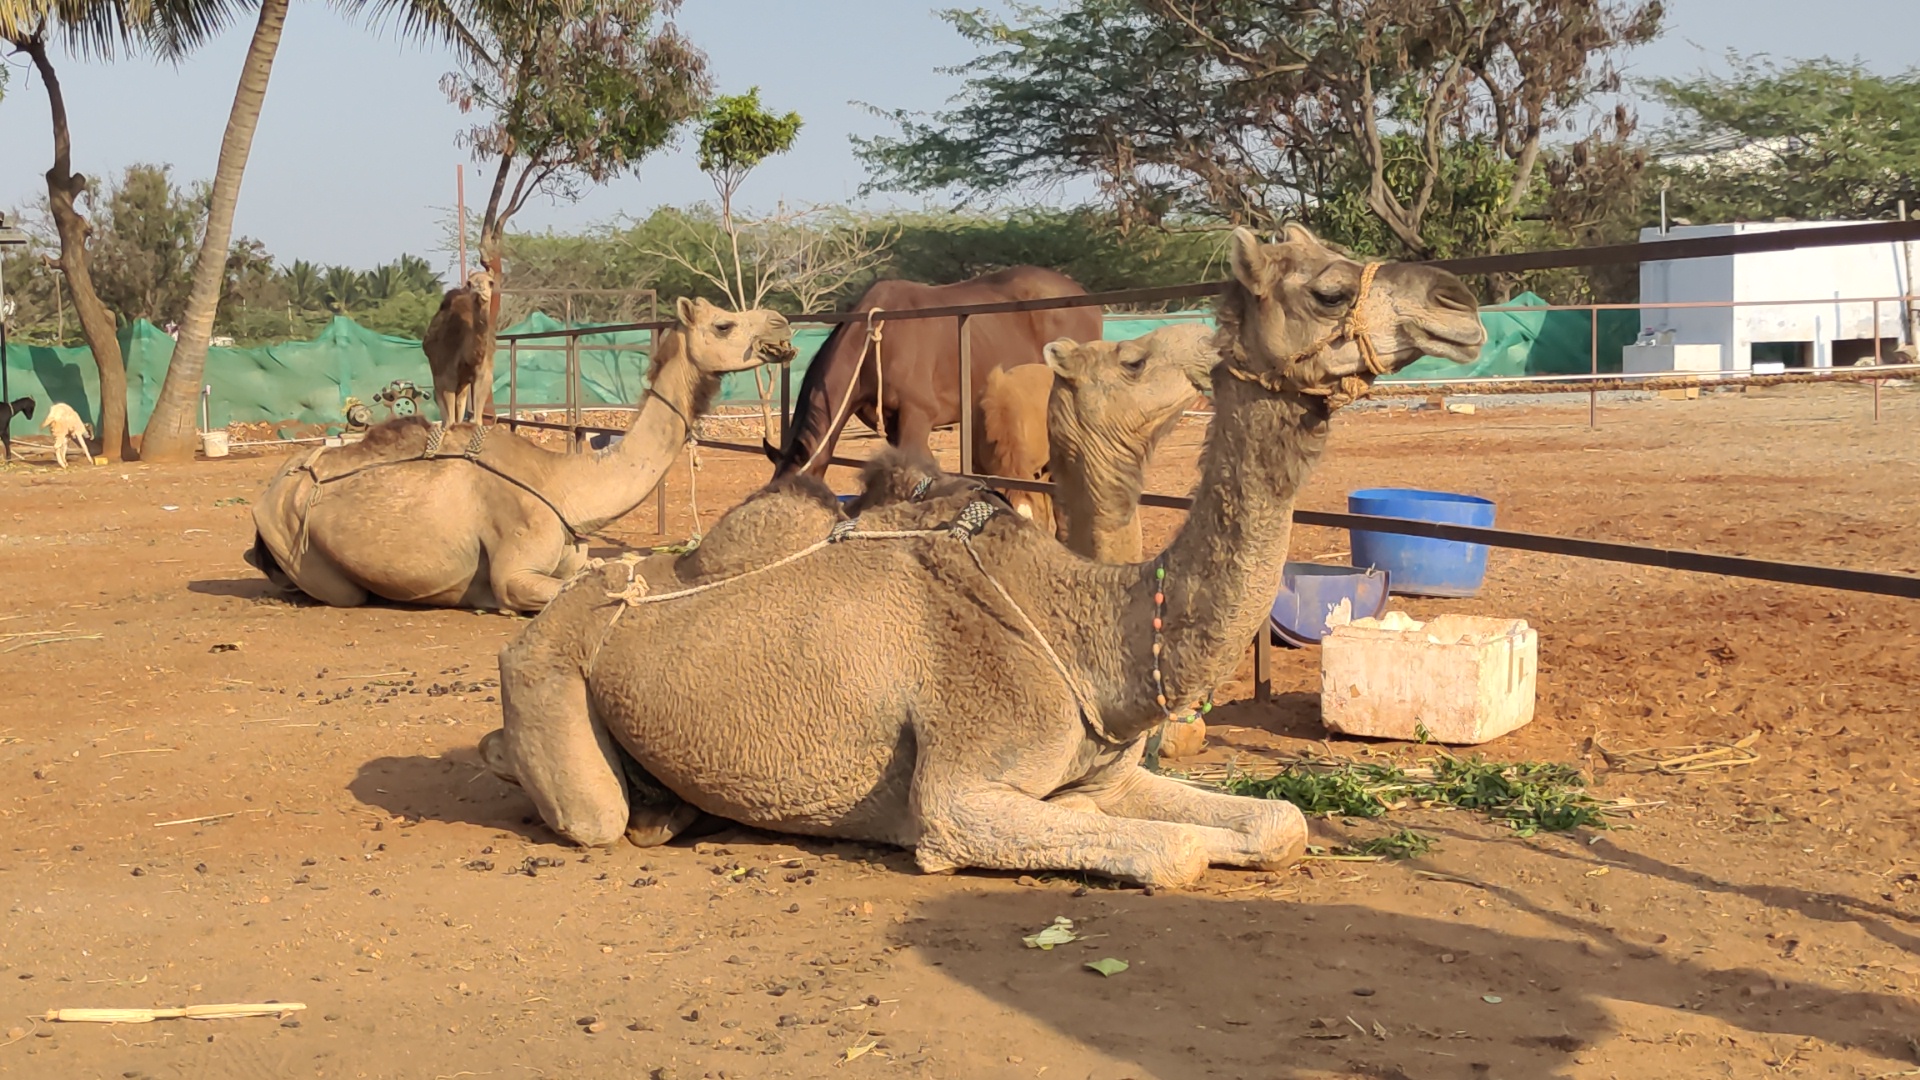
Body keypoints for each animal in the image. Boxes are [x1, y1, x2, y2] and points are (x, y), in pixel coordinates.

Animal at [247, 297, 794, 611]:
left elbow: (613, 569)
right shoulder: (515, 569)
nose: (783, 326)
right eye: (724, 325)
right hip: (296, 543)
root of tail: (271, 490)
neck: (568, 488)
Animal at [424, 267, 495, 422]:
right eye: (469, 283)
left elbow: (477, 420)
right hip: (437, 374)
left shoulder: (484, 375)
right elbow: (450, 420)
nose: (479, 288)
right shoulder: (447, 375)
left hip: (463, 384)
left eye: (491, 282)